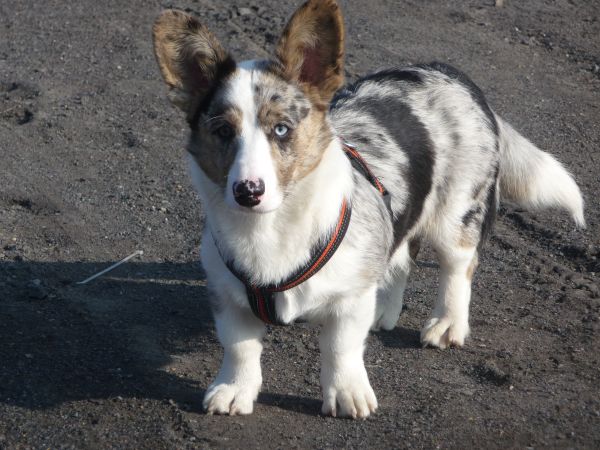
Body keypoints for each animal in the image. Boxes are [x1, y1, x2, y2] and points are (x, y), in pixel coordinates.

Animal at [152, 0, 585, 418]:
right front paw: (234, 390)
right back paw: (384, 309)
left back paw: (447, 324)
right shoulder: (228, 297)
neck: (271, 229)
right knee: (402, 252)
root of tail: (452, 74)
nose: (247, 192)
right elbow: (239, 347)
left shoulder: (347, 300)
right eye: (224, 131)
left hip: (454, 216)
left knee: (458, 266)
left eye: (281, 129)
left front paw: (347, 395)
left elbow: (340, 348)